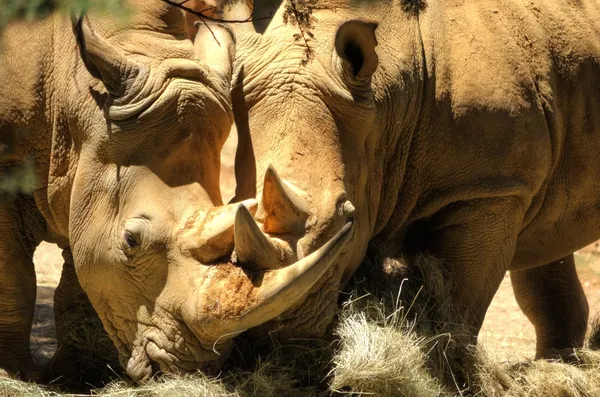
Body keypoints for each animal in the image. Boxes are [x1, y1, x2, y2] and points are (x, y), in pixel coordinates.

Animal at [0, 0, 350, 384]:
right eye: (131, 240)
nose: (186, 368)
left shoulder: (80, 182)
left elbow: (77, 279)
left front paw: (75, 372)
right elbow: (14, 278)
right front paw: (17, 373)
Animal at [225, 0, 600, 358]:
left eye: (347, 219)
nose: (271, 331)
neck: (386, 99)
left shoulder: (491, 188)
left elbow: (459, 308)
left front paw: (450, 365)